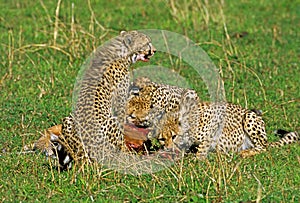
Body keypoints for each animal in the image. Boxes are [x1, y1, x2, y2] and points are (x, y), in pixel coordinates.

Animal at [126, 77, 298, 159]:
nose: (131, 115)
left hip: (250, 118)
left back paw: (245, 153)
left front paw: (198, 157)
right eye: (163, 139)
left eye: (174, 136)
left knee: (263, 147)